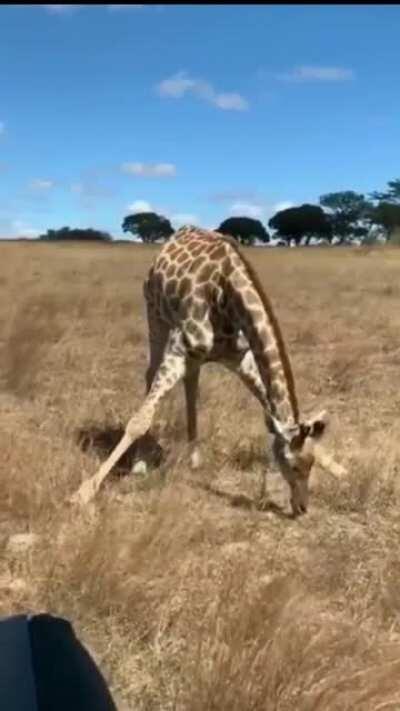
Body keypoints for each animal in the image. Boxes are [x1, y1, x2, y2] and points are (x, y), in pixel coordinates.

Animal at [71, 225, 346, 515]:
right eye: (292, 465)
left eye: (311, 463)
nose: (302, 508)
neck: (228, 295)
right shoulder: (178, 349)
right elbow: (139, 420)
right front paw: (84, 492)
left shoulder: (239, 357)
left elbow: (266, 402)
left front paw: (337, 467)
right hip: (155, 316)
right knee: (150, 374)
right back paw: (141, 461)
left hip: (192, 353)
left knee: (191, 382)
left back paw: (193, 456)